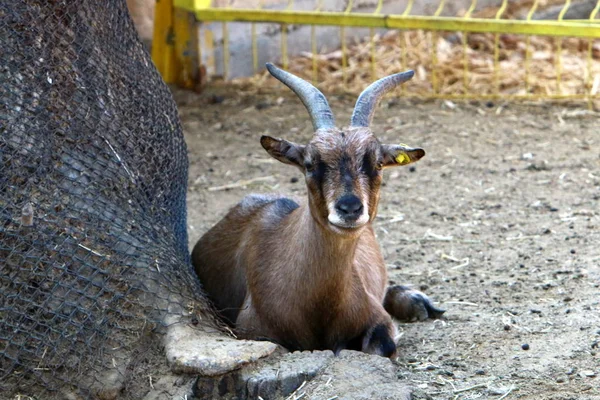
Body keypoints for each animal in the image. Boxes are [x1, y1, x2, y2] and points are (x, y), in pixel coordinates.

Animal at [192, 64, 446, 358]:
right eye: (310, 163)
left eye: (378, 164)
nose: (350, 208)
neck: (320, 305)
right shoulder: (252, 330)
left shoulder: (378, 320)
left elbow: (382, 347)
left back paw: (416, 302)